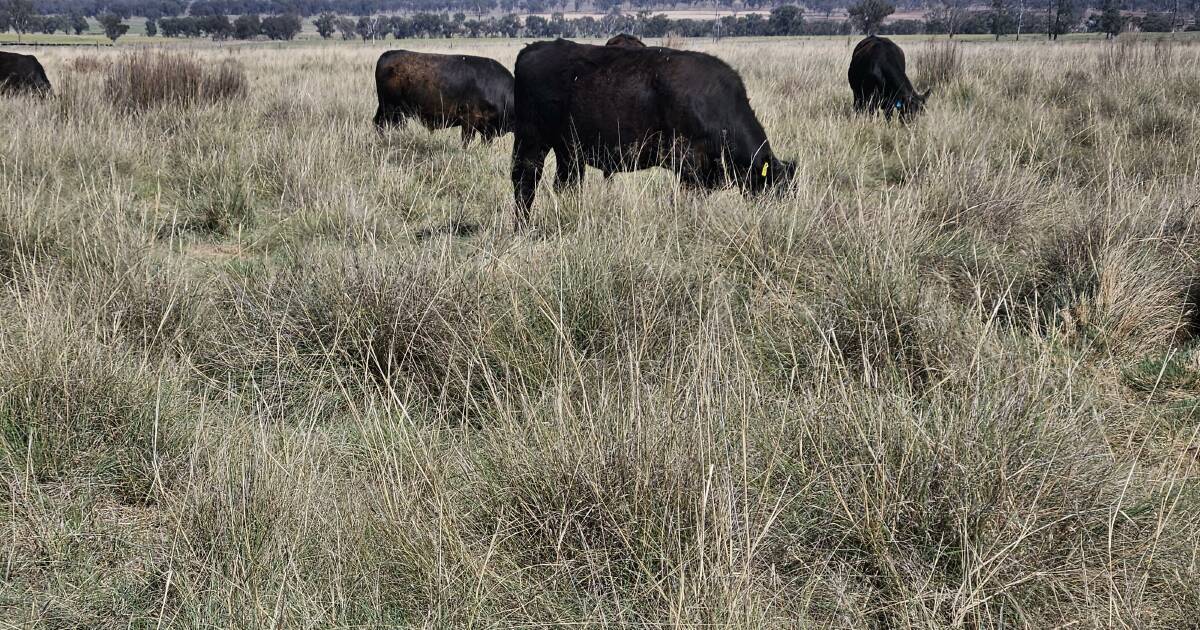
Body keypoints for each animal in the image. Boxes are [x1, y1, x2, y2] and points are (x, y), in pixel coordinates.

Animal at [374, 50, 516, 143]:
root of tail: (386, 55)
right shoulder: (469, 121)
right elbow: (466, 142)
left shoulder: (488, 130)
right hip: (393, 111)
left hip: (386, 109)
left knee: (378, 123)